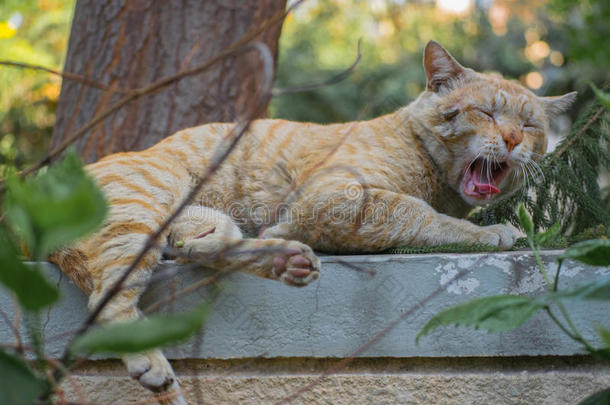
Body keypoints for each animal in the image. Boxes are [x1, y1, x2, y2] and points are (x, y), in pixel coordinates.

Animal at [50, 42, 572, 402]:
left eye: (529, 126)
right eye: (486, 112)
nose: (511, 140)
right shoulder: (336, 197)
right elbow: (421, 215)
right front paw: (492, 231)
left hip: (201, 221)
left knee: (200, 248)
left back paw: (285, 260)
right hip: (142, 214)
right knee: (105, 301)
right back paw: (151, 362)